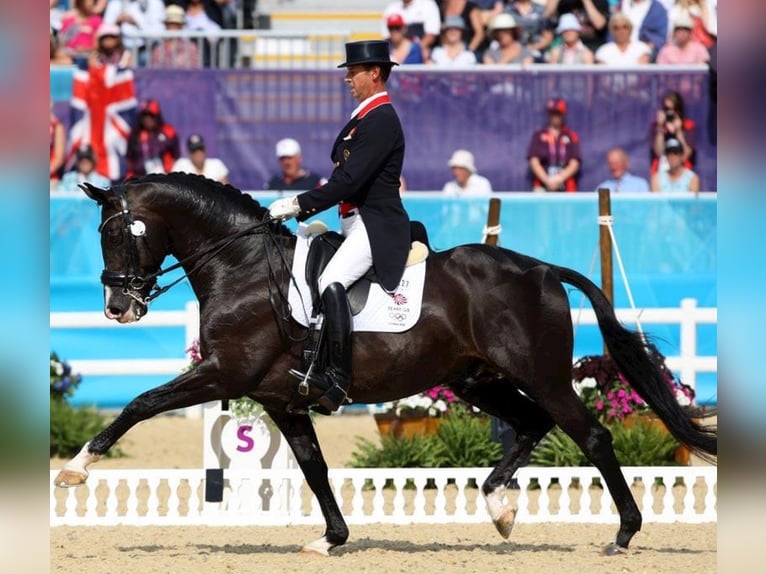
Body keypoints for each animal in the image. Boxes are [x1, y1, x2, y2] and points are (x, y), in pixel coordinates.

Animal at [55, 176, 720, 560]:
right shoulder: (278, 398)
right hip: (475, 378)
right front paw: (332, 538)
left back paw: (624, 533)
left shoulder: (225, 372)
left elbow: (140, 403)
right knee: (531, 425)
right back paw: (500, 508)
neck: (241, 265)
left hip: (542, 376)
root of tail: (542, 269)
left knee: (592, 435)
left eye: (116, 234)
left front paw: (76, 468)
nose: (118, 307)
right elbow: (314, 467)